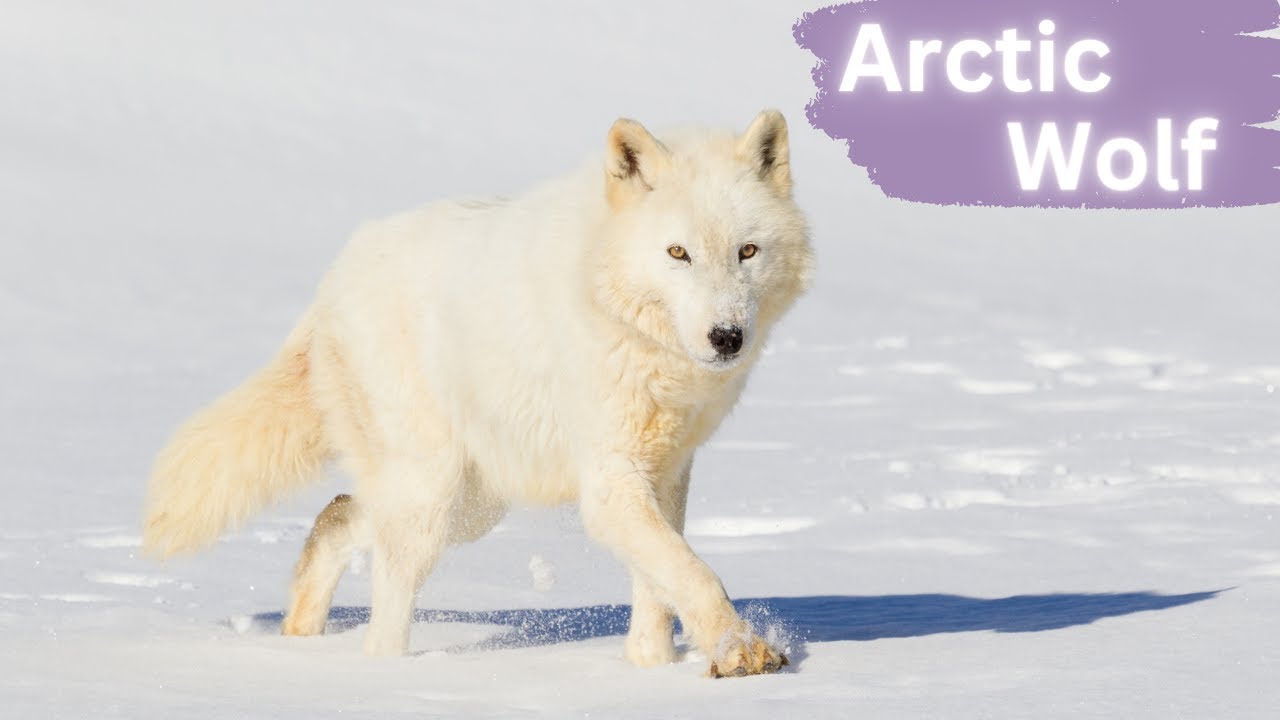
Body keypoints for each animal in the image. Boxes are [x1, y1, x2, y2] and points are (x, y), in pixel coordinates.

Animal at [143, 110, 814, 678]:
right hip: (435, 496)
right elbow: (693, 574)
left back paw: (300, 635)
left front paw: (649, 668)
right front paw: (741, 651)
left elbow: (662, 584)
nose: (726, 337)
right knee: (383, 611)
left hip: (469, 505)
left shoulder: (666, 475)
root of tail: (331, 282)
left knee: (337, 514)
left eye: (746, 251)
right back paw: (379, 677)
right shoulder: (610, 484)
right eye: (678, 253)